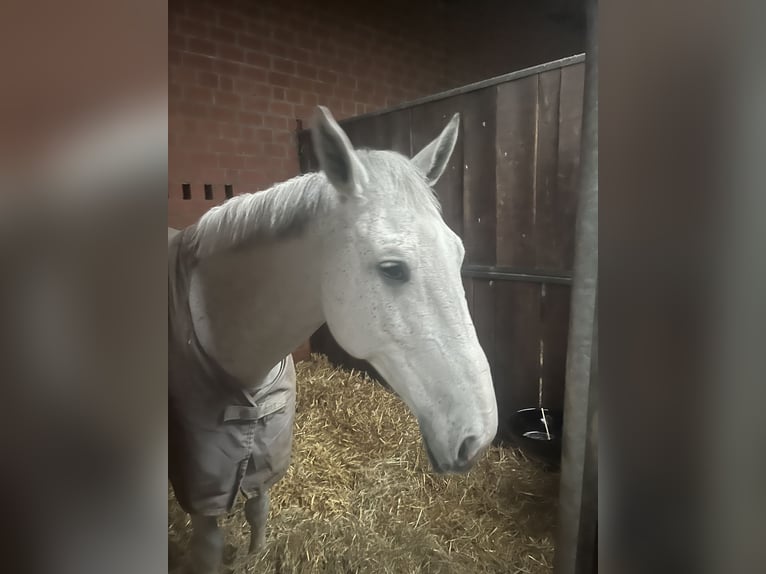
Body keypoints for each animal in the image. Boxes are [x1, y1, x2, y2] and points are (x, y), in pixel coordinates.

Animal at [167, 106, 498, 572]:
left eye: (459, 253)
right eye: (392, 268)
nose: (479, 438)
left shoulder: (266, 450)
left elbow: (258, 509)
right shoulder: (202, 486)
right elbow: (211, 546)